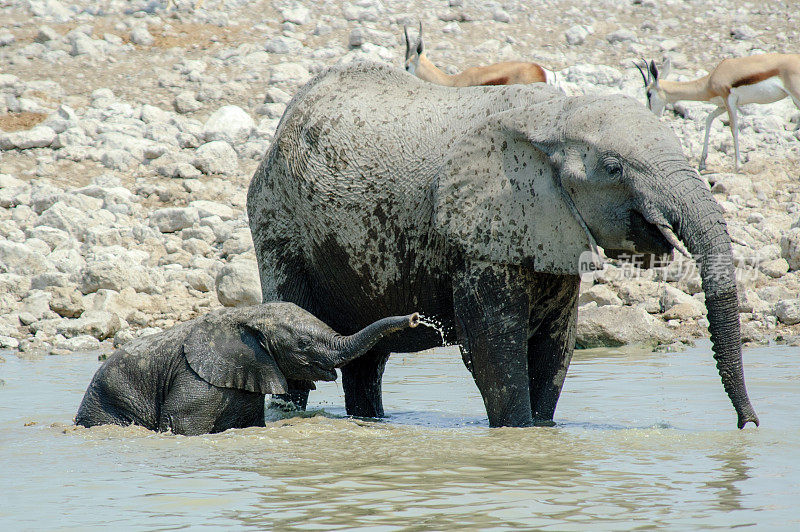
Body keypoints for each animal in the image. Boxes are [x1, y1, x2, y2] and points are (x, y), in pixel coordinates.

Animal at [76, 302, 422, 434]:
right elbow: (182, 425)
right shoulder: (196, 380)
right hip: (109, 403)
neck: (249, 315)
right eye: (304, 343)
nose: (416, 317)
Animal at [247, 61, 760, 428]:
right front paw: (517, 434)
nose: (749, 425)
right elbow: (492, 347)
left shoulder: (549, 231)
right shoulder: (480, 240)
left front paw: (544, 431)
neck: (555, 116)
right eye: (614, 169)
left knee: (365, 362)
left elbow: (556, 346)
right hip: (278, 223)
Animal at [636, 53, 800, 171]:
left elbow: (733, 128)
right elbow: (708, 119)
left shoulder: (729, 100)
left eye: (648, 94)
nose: (649, 114)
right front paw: (702, 163)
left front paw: (738, 165)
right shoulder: (721, 105)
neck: (710, 79)